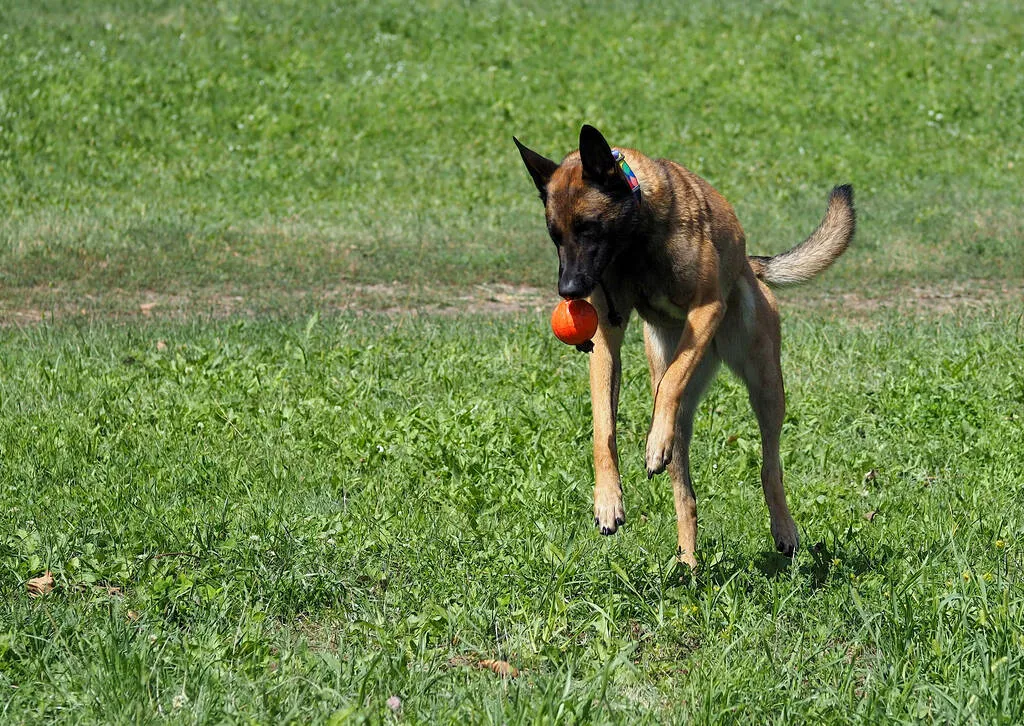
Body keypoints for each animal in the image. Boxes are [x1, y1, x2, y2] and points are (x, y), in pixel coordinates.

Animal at [512, 124, 856, 565]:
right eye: (555, 236)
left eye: (590, 228)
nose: (569, 291)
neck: (635, 244)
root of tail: (751, 265)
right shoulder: (605, 339)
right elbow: (603, 428)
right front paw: (607, 499)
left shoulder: (706, 309)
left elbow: (673, 380)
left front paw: (652, 442)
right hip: (685, 411)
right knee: (686, 493)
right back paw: (688, 563)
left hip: (765, 385)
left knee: (770, 465)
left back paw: (783, 529)